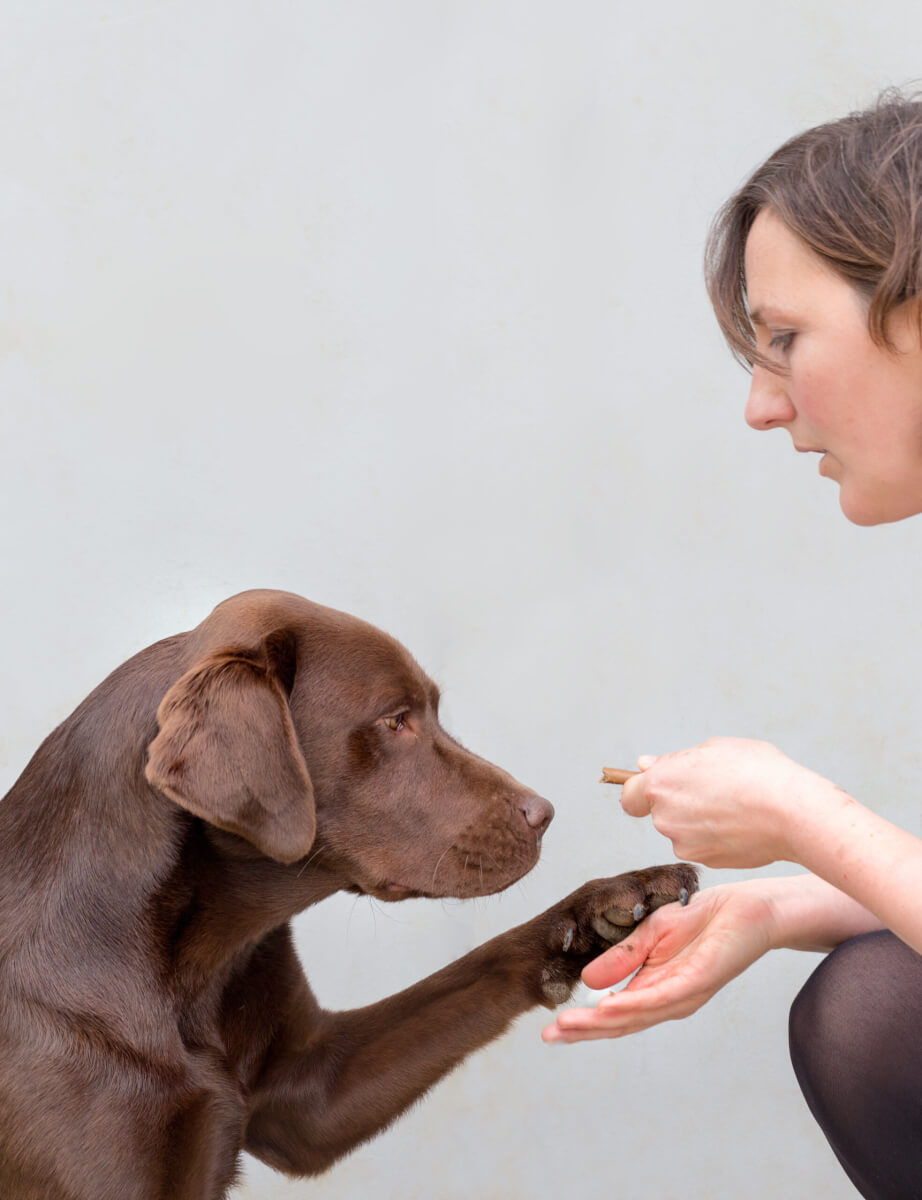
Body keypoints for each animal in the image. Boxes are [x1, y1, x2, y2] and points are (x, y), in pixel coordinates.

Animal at [0, 592, 696, 1200]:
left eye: (432, 710)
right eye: (394, 720)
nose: (545, 813)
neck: (190, 963)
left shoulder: (311, 1097)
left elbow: (482, 963)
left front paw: (607, 909)